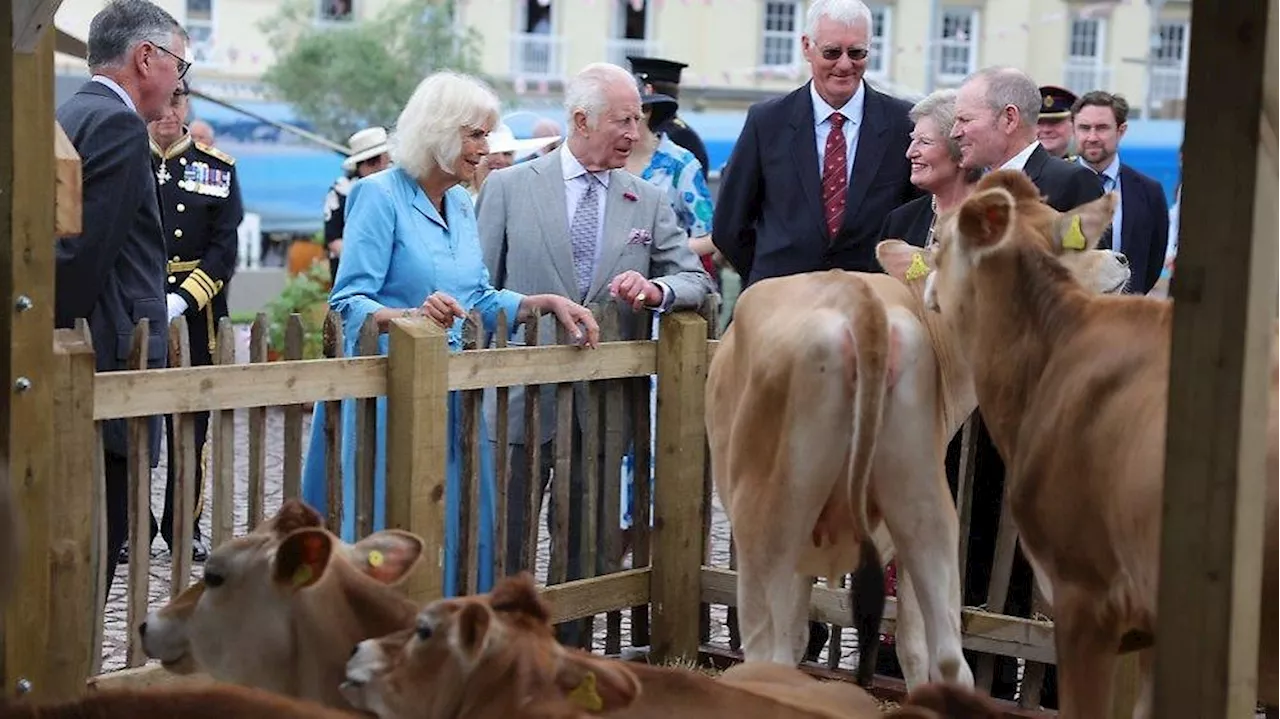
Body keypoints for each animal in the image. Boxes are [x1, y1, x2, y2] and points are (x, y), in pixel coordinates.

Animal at [701, 240, 1131, 680]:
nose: (1121, 257)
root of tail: (858, 297)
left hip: (771, 518)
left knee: (764, 650)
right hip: (924, 510)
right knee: (948, 658)